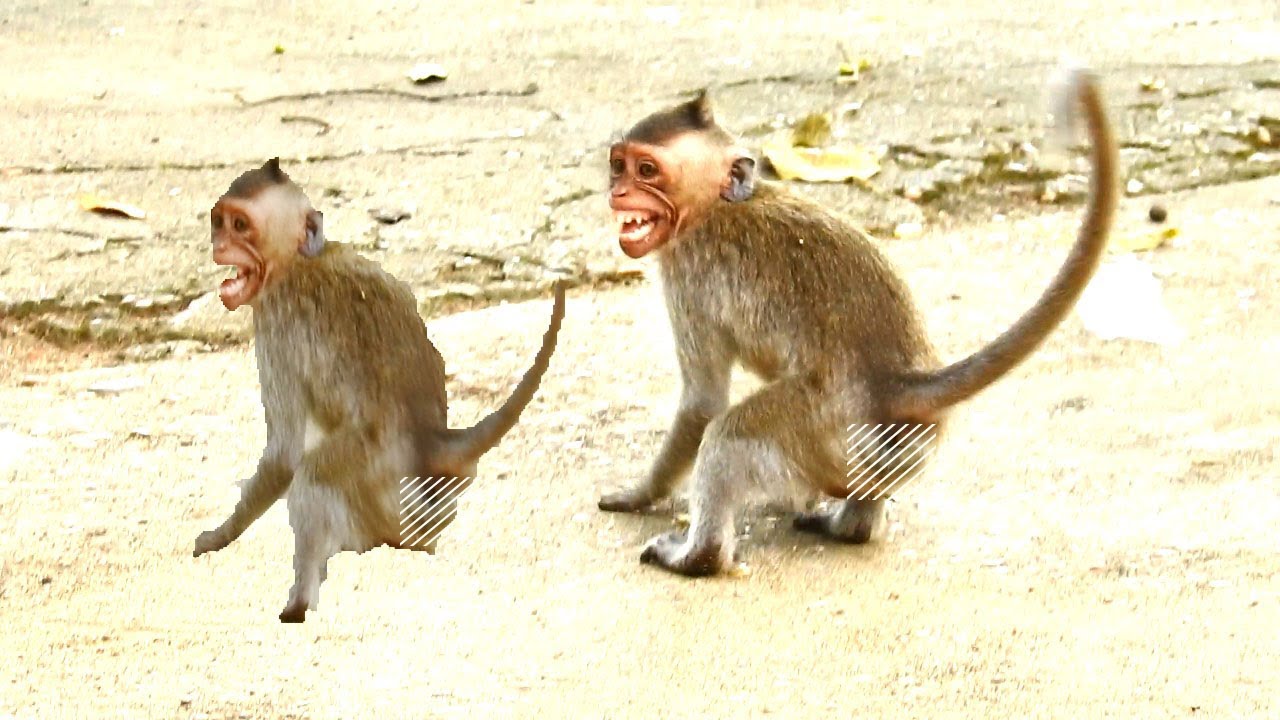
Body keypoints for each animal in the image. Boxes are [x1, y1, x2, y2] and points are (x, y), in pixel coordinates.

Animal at [192, 158, 566, 621]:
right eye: (220, 222)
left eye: (241, 226)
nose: (219, 246)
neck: (299, 262)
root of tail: (429, 440)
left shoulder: (277, 322)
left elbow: (284, 454)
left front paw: (219, 535)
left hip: (377, 491)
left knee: (311, 475)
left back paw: (299, 603)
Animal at [598, 67, 1117, 577]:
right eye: (618, 164)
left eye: (647, 170)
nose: (617, 192)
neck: (720, 204)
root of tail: (895, 383)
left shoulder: (687, 273)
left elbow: (703, 402)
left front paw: (639, 495)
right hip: (897, 449)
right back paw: (850, 527)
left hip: (822, 426)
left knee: (730, 435)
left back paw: (699, 556)